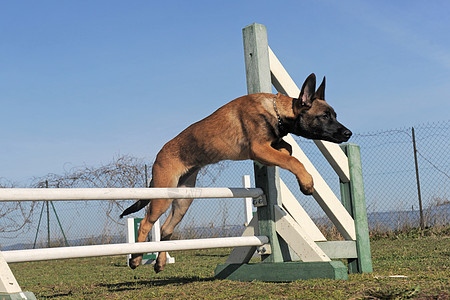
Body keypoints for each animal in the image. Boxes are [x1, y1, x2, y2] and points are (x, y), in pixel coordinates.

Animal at [121, 72, 354, 272]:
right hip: (163, 197)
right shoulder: (259, 149)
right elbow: (292, 159)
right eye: (324, 116)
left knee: (166, 229)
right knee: (145, 223)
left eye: (334, 115)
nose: (348, 133)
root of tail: (159, 154)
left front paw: (286, 151)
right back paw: (136, 258)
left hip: (182, 201)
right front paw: (307, 183)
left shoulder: (267, 147)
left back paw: (159, 263)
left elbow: (288, 149)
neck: (276, 111)